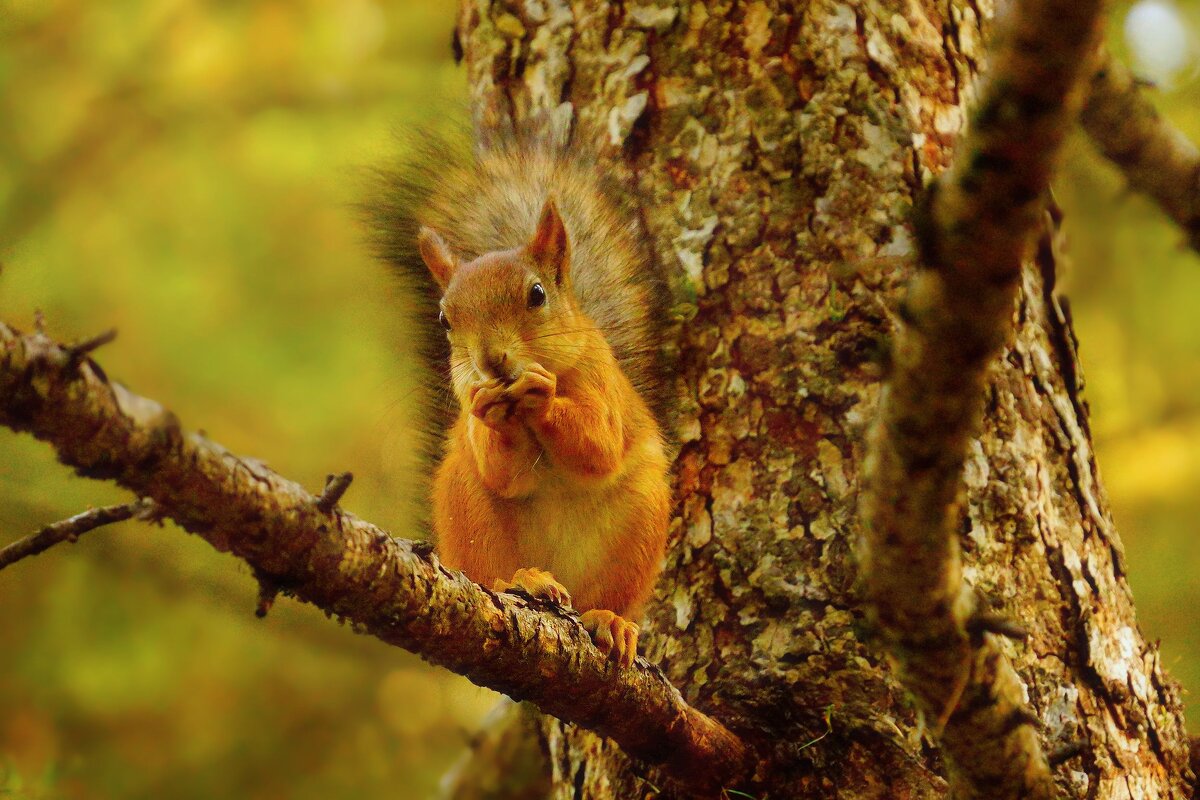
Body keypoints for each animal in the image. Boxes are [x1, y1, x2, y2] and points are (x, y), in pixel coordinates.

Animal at [372, 133, 672, 671]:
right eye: (446, 319)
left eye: (536, 294)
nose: (492, 361)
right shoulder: (472, 418)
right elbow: (504, 472)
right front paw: (499, 412)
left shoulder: (604, 385)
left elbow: (599, 447)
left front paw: (542, 395)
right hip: (469, 515)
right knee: (491, 574)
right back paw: (525, 580)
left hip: (640, 527)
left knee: (608, 599)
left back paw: (611, 621)